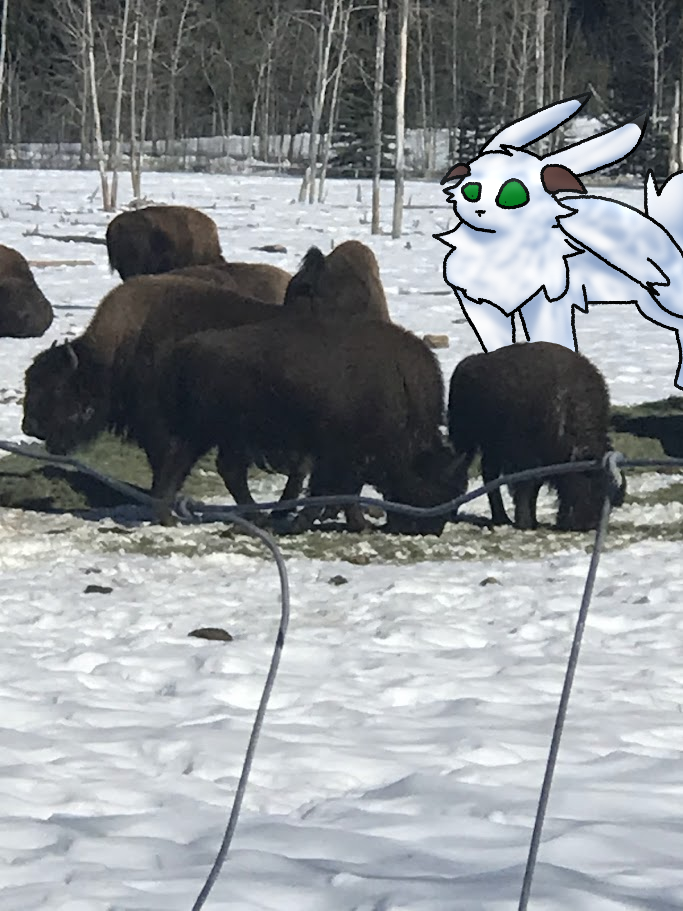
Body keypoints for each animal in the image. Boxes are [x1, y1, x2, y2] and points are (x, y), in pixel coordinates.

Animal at [152, 316, 466, 533]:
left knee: (182, 465)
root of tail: (188, 348)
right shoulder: (339, 454)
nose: (429, 529)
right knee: (225, 470)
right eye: (432, 484)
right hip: (225, 434)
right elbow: (330, 489)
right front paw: (306, 523)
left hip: (202, 434)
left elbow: (345, 490)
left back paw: (169, 517)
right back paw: (258, 518)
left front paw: (356, 524)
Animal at [448, 342, 625, 531]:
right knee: (463, 469)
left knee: (488, 474)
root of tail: (465, 364)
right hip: (466, 441)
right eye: (587, 480)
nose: (588, 524)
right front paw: (525, 523)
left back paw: (501, 518)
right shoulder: (525, 458)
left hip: (491, 448)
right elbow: (526, 486)